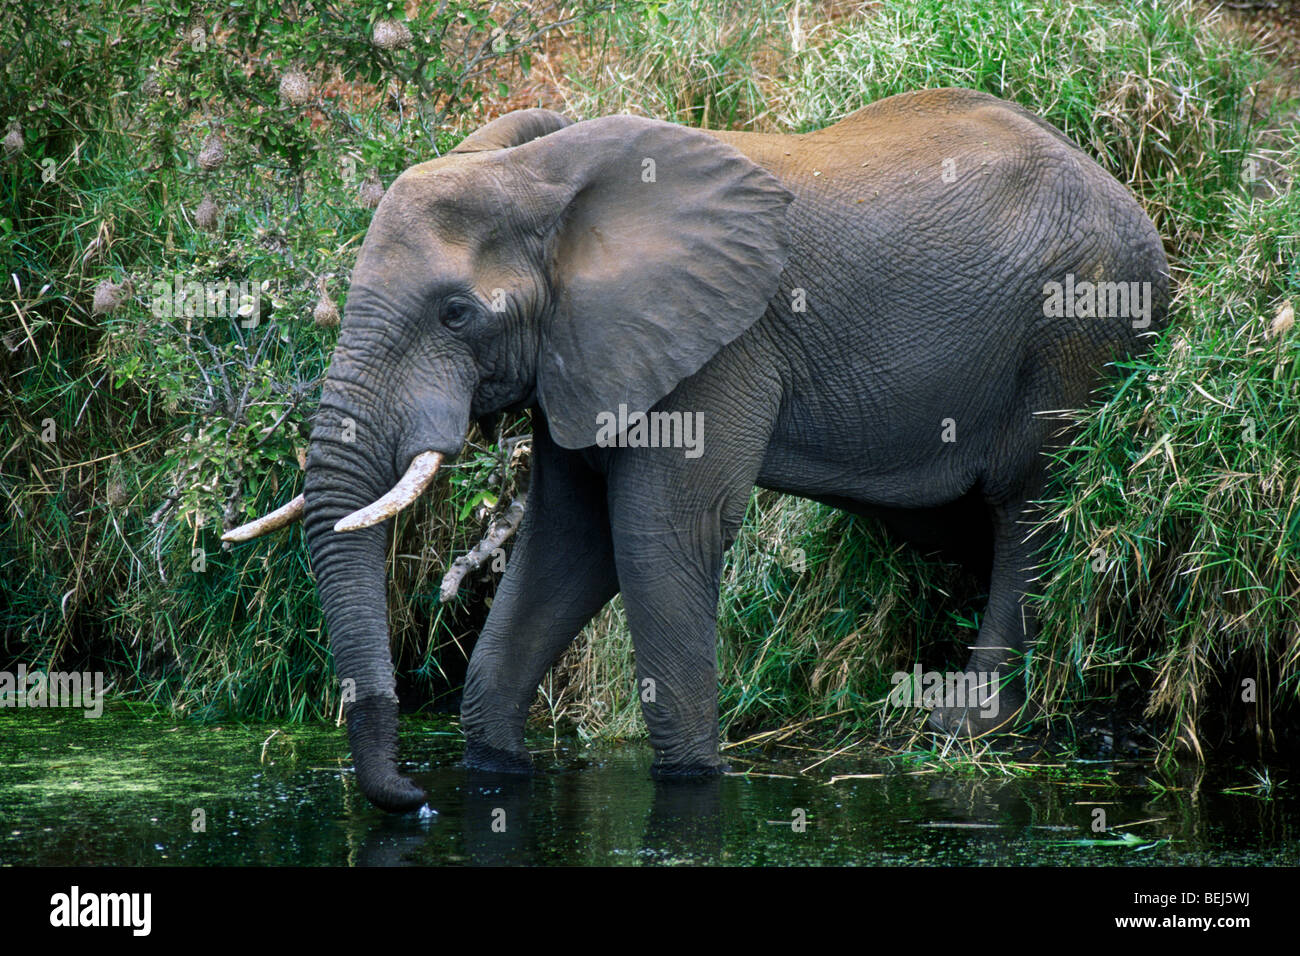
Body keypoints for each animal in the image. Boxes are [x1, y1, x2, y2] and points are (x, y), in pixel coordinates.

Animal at [223, 85, 1170, 811]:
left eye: (456, 313)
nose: (412, 797)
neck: (544, 178)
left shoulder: (720, 346)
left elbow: (659, 536)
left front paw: (693, 782)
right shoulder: (584, 353)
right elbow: (572, 543)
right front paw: (496, 773)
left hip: (1079, 329)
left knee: (1035, 510)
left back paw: (964, 730)